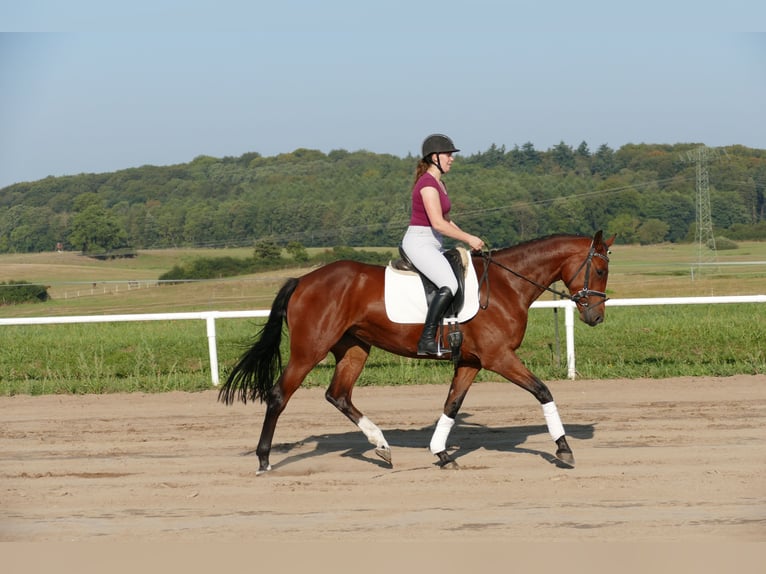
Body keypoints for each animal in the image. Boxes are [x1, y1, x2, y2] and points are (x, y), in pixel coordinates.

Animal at [219, 232, 616, 474]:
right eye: (599, 269)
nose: (596, 317)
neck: (507, 284)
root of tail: (303, 280)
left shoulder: (471, 362)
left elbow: (452, 405)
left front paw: (441, 452)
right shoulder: (498, 358)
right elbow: (543, 391)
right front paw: (563, 449)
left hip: (354, 348)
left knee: (338, 395)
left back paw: (381, 445)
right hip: (309, 350)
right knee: (278, 396)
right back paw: (264, 460)